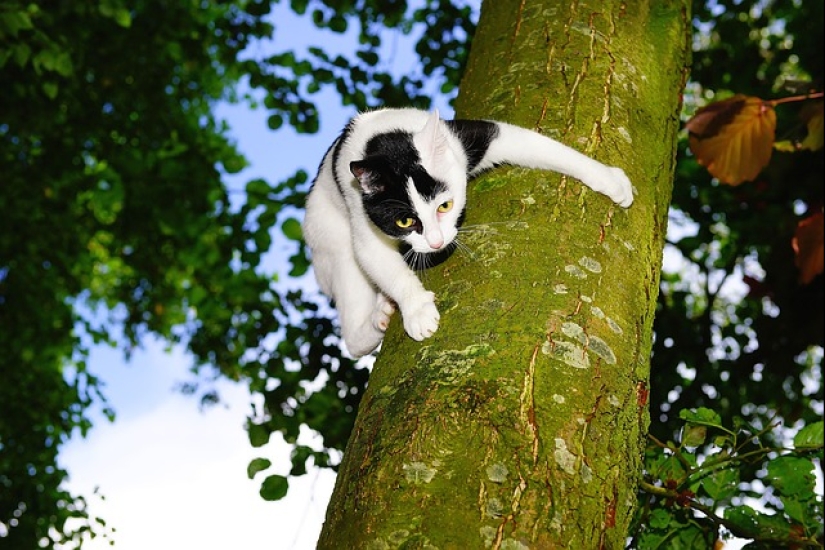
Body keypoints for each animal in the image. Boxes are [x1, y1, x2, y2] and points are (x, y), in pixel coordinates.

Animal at [302, 108, 632, 360]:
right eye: (405, 222)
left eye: (444, 206)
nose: (436, 241)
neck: (386, 138)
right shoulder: (362, 212)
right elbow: (381, 262)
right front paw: (417, 310)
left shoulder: (468, 138)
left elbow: (542, 146)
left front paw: (610, 179)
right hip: (329, 240)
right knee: (353, 337)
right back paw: (378, 318)